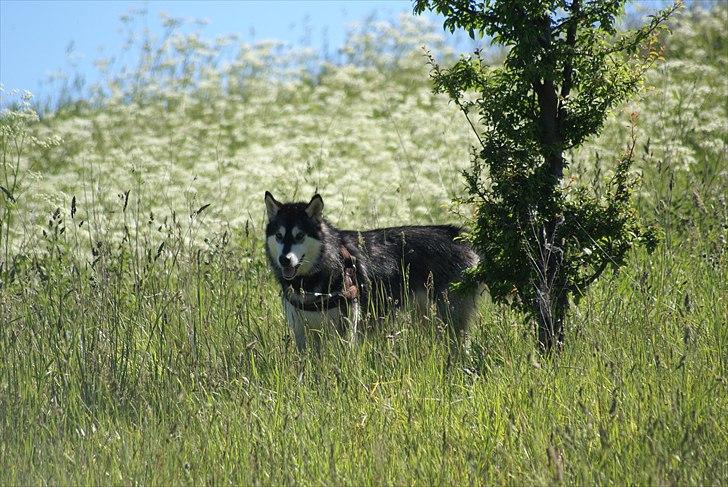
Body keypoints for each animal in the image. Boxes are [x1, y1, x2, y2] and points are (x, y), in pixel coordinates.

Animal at [264, 193, 480, 352]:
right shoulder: (302, 332)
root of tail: (460, 236)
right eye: (279, 236)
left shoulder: (347, 330)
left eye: (299, 236)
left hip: (449, 320)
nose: (284, 259)